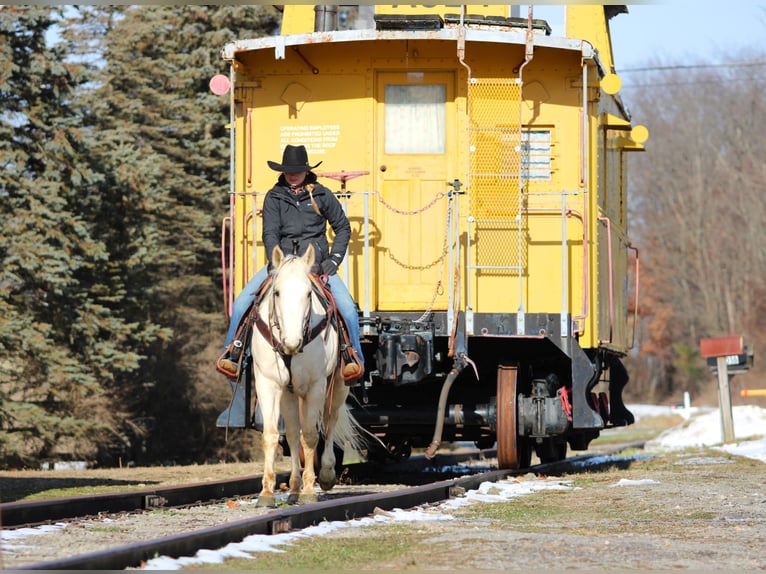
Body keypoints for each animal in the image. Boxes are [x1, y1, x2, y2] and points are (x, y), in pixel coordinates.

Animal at [251, 243, 362, 506]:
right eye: (277, 293)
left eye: (309, 294)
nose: (292, 342)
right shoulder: (268, 384)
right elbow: (272, 435)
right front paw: (266, 493)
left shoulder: (315, 386)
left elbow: (311, 436)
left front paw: (310, 490)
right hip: (289, 394)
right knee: (292, 433)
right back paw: (293, 488)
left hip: (338, 387)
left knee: (329, 423)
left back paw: (326, 475)